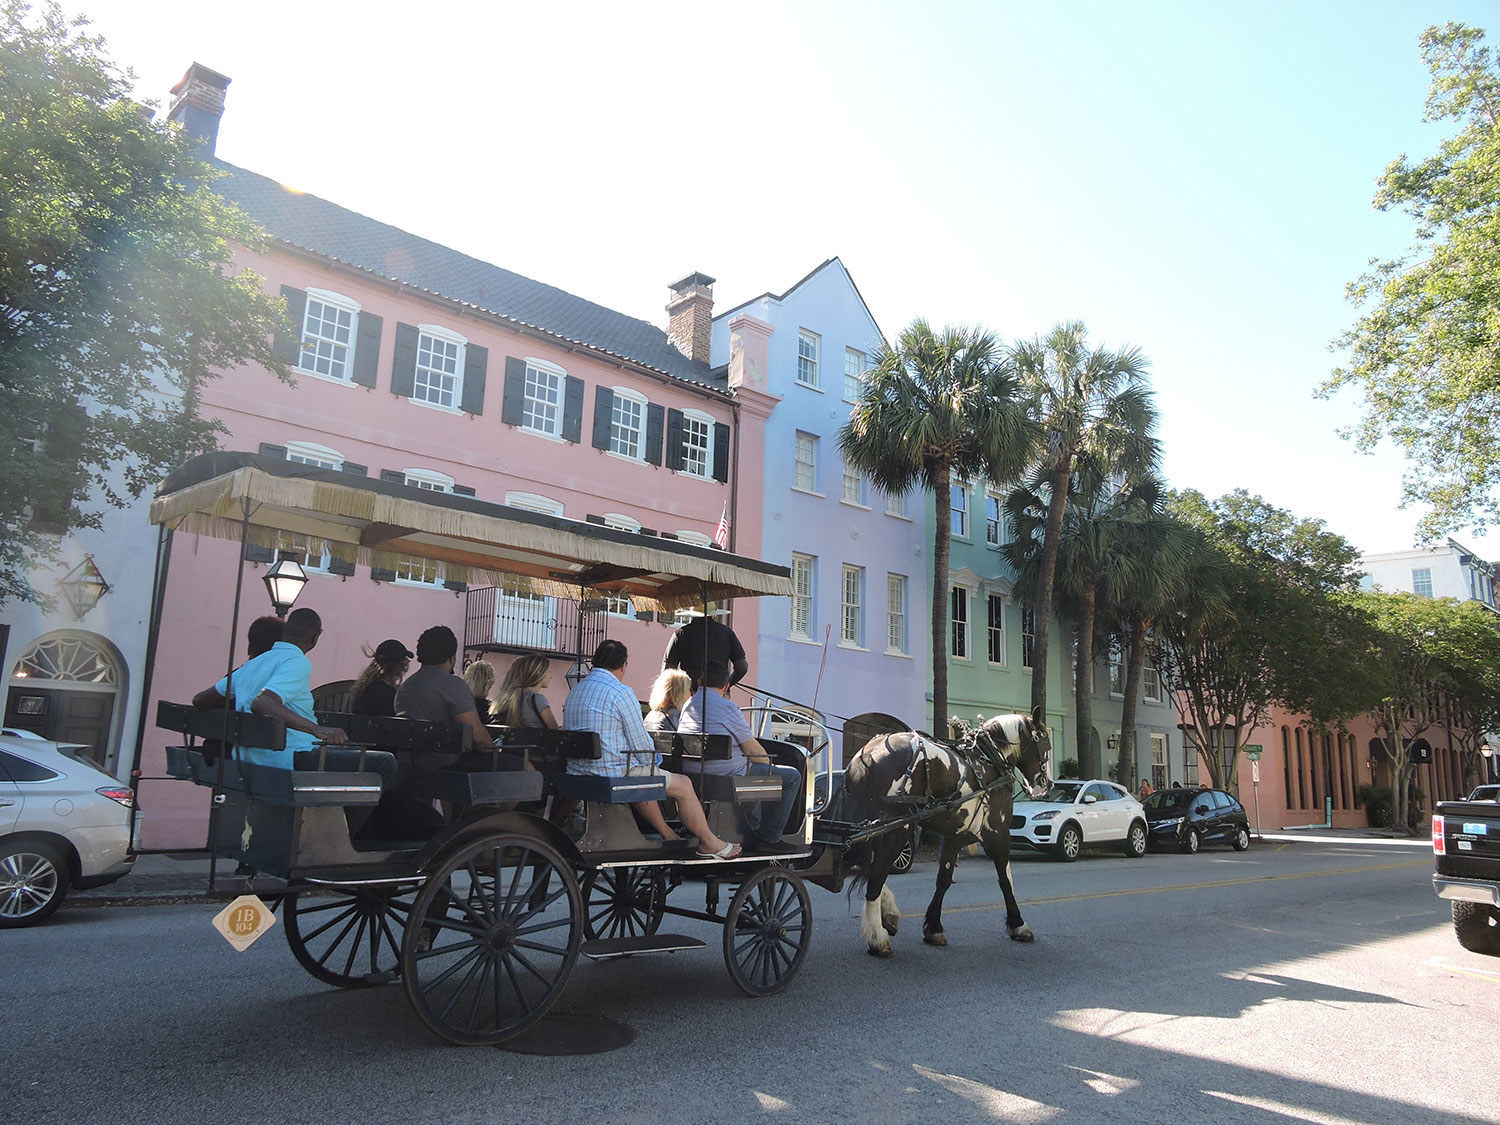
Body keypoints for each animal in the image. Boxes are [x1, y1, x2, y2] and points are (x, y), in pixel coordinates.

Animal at [834, 708, 1056, 954]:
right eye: (1044, 741)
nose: (1047, 783)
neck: (989, 761)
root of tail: (868, 755)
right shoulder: (997, 831)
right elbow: (1005, 880)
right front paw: (1018, 925)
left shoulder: (954, 836)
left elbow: (944, 880)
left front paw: (934, 928)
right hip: (895, 830)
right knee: (875, 875)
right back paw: (877, 937)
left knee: (863, 866)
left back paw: (887, 915)